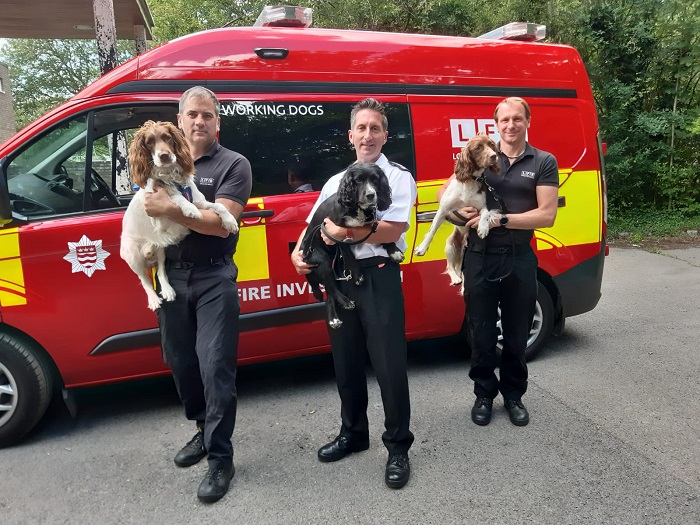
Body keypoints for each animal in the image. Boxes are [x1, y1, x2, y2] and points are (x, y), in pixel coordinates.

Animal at [120, 121, 238, 310]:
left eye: (167, 137)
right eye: (149, 142)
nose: (164, 156)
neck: (170, 177)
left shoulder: (200, 201)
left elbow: (218, 205)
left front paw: (230, 221)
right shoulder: (160, 217)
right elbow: (175, 197)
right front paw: (189, 209)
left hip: (161, 249)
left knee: (161, 271)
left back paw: (168, 290)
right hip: (132, 253)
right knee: (144, 279)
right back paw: (153, 299)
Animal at [412, 133, 500, 284]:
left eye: (491, 145)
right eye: (478, 148)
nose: (494, 156)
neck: (470, 180)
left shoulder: (481, 207)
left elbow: (485, 214)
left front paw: (483, 229)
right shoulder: (443, 209)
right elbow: (431, 231)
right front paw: (422, 248)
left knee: (460, 269)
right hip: (450, 245)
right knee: (450, 266)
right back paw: (455, 278)